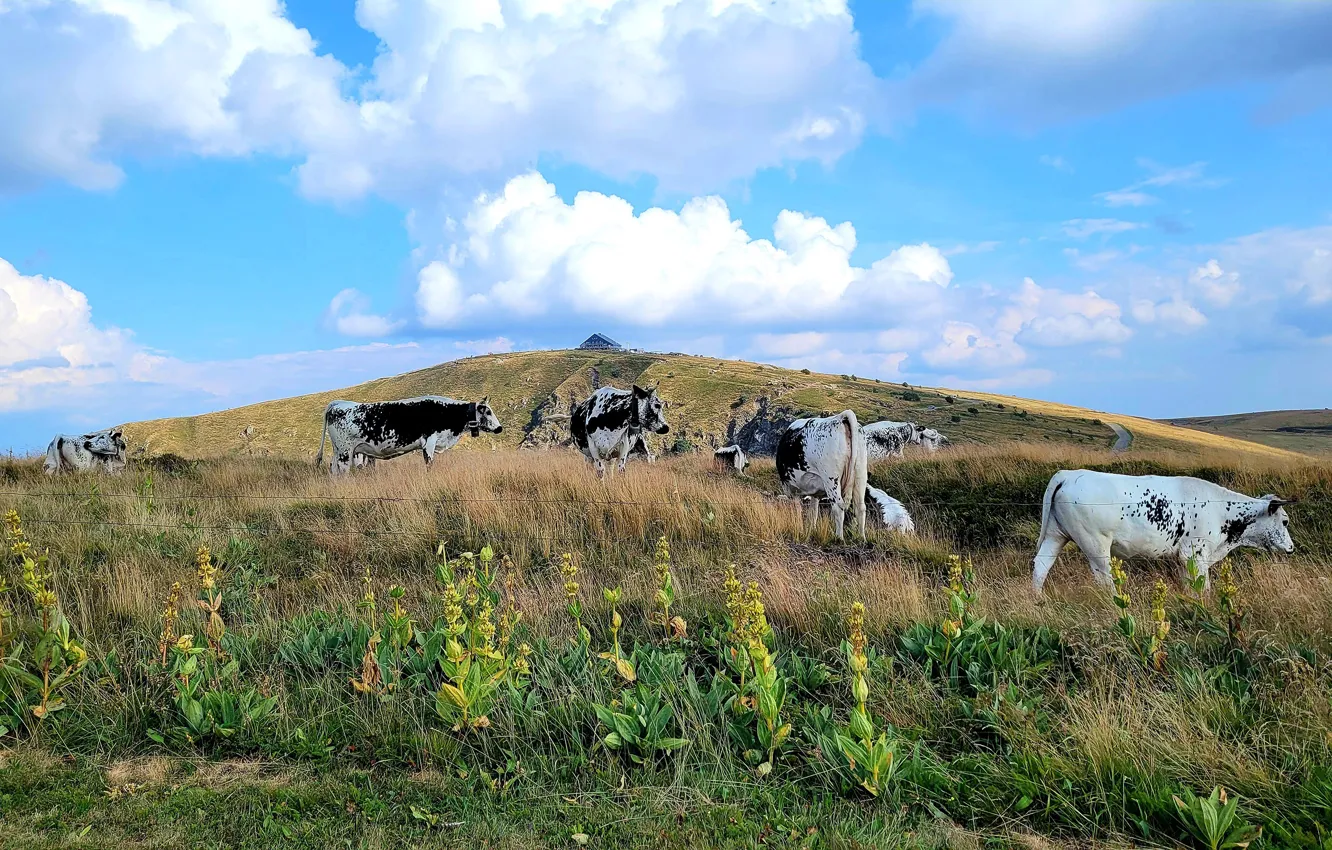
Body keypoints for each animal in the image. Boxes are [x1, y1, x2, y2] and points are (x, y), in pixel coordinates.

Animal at [315, 396, 502, 475]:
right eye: (488, 411)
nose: (500, 428)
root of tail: (338, 403)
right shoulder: (429, 442)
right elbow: (429, 464)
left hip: (339, 450)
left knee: (334, 469)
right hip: (345, 451)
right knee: (343, 470)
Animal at [775, 411, 868, 541]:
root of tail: (841, 418)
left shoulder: (794, 490)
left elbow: (798, 509)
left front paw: (799, 529)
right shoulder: (815, 493)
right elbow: (813, 512)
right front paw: (811, 530)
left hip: (831, 479)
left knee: (838, 507)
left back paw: (839, 538)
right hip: (860, 474)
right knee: (860, 507)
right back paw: (861, 538)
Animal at [1031, 469, 1295, 594]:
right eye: (1285, 521)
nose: (1291, 548)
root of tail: (1069, 474)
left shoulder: (1183, 559)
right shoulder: (1196, 553)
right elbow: (1204, 587)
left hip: (1056, 535)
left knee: (1041, 566)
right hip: (1095, 544)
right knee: (1104, 579)